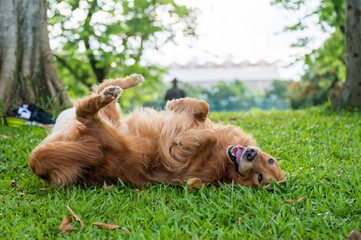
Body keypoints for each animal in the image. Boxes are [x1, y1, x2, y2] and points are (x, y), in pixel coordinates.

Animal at [28, 74, 282, 188]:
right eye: (270, 160)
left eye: (260, 178)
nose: (250, 153)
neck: (223, 160)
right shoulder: (209, 124)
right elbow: (204, 107)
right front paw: (178, 103)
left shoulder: (188, 170)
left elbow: (203, 138)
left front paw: (183, 140)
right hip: (114, 121)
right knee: (104, 86)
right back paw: (128, 82)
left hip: (116, 143)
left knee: (85, 112)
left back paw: (105, 97)